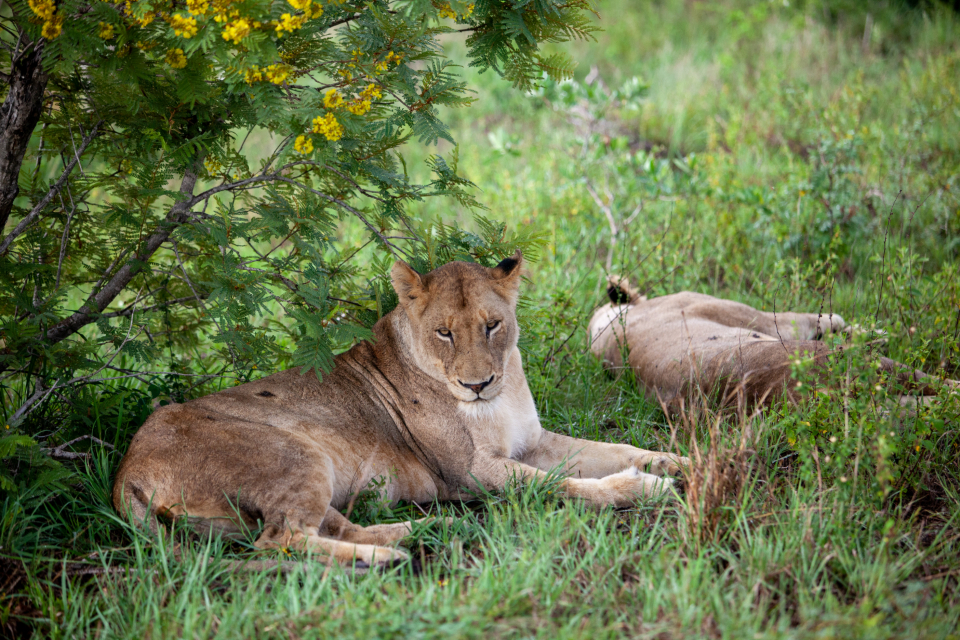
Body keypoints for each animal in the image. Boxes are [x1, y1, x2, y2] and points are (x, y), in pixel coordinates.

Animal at [114, 253, 689, 569]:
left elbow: (610, 448)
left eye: (492, 325)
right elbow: (561, 486)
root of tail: (126, 471)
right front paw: (645, 487)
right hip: (292, 453)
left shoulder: (533, 442)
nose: (477, 384)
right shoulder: (469, 472)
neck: (499, 397)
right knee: (280, 542)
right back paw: (388, 558)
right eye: (444, 332)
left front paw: (675, 462)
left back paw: (419, 531)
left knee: (317, 528)